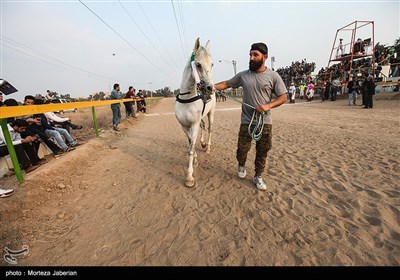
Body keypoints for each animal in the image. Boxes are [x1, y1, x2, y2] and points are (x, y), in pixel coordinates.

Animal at [174, 36, 216, 186]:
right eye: (198, 64)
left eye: (212, 64)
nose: (210, 88)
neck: (187, 99)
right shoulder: (184, 126)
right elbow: (190, 143)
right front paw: (196, 160)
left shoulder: (194, 125)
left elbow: (191, 147)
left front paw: (189, 177)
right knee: (203, 127)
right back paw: (203, 144)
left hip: (210, 114)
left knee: (209, 128)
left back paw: (207, 147)